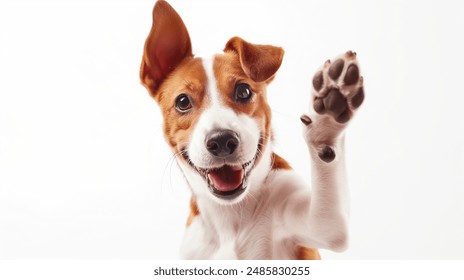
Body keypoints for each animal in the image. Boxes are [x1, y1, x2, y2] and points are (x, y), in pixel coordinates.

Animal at [140, 0, 364, 260]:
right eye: (183, 101)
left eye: (244, 91)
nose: (222, 141)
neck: (231, 216)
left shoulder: (322, 224)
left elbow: (329, 222)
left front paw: (329, 113)